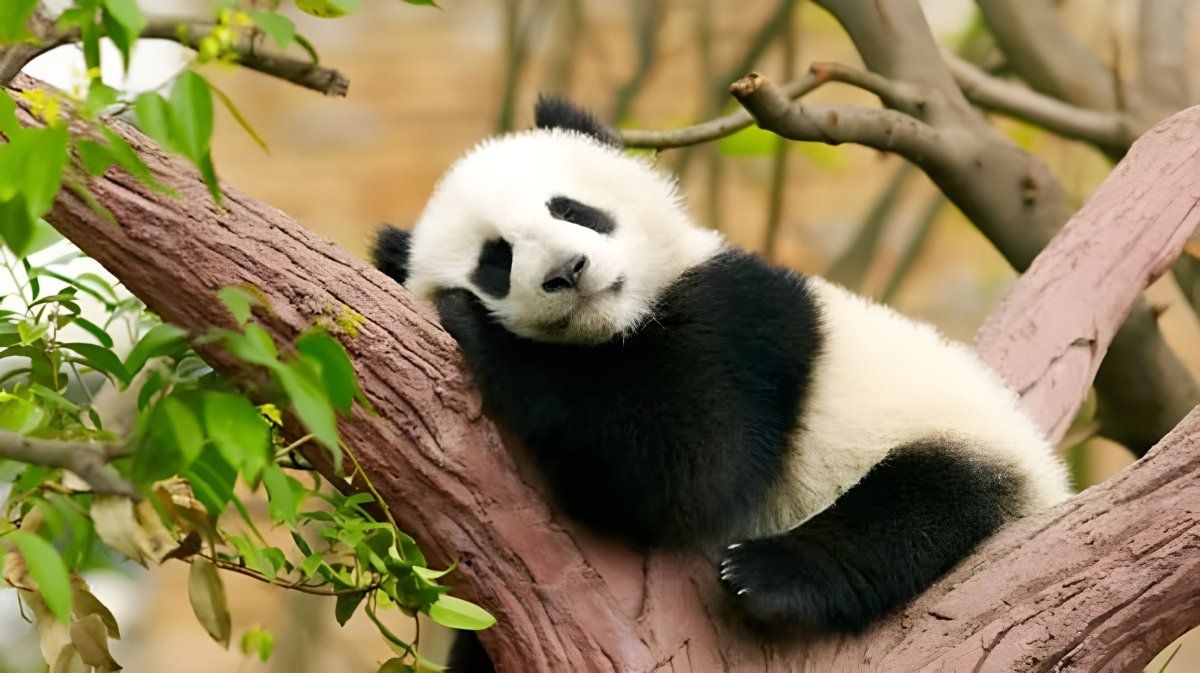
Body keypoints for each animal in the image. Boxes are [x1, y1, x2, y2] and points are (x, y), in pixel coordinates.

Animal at [373, 96, 1070, 633]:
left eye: (570, 209)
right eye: (496, 260)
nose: (568, 271)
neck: (620, 325)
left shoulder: (741, 324)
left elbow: (690, 467)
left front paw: (475, 326)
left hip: (955, 433)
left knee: (919, 505)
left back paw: (770, 576)